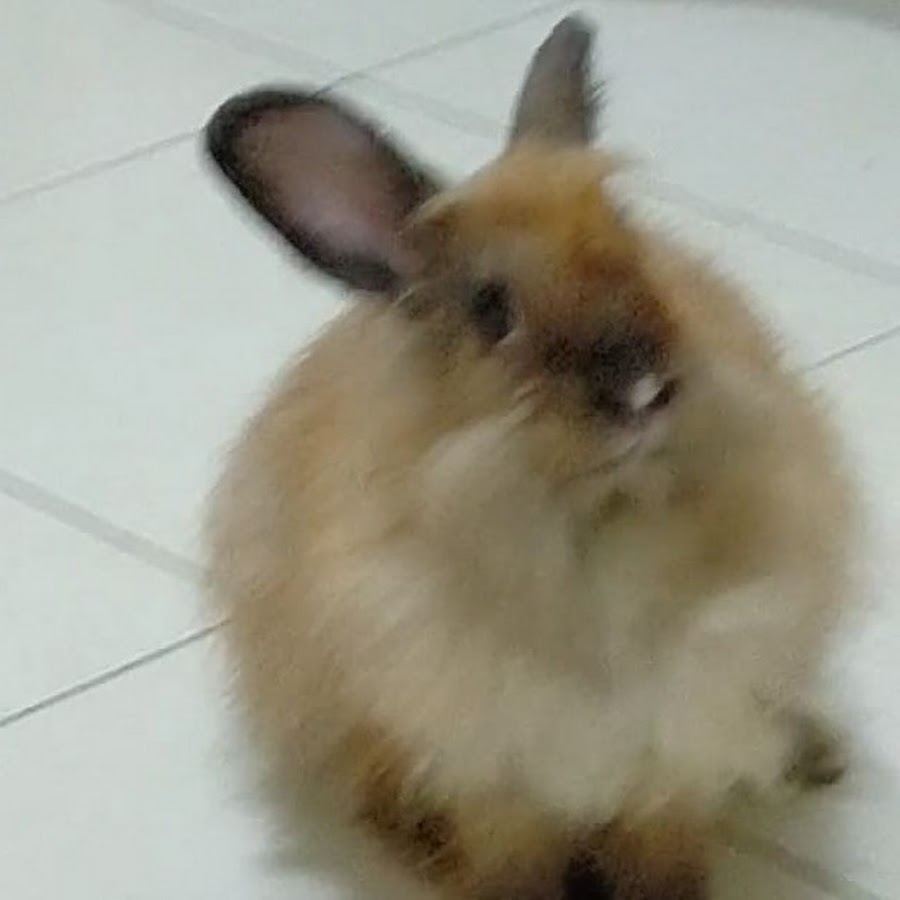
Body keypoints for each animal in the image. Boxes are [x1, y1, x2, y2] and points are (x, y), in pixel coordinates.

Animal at [204, 15, 858, 900]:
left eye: (629, 243)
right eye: (491, 311)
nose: (640, 387)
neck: (599, 529)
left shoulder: (680, 743)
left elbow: (662, 850)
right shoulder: (489, 767)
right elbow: (512, 858)